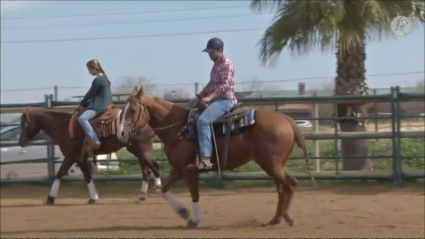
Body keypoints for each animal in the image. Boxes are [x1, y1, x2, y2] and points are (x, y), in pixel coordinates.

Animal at [17, 106, 161, 205]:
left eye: (25, 123)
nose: (21, 141)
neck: (64, 127)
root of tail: (147, 123)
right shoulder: (70, 157)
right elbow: (60, 174)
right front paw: (50, 198)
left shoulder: (78, 158)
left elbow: (86, 175)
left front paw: (93, 197)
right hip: (139, 152)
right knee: (146, 171)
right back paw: (141, 196)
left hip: (141, 151)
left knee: (155, 167)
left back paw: (158, 189)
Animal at [121, 87, 314, 229]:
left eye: (132, 110)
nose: (122, 133)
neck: (180, 127)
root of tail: (287, 119)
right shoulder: (178, 169)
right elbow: (163, 189)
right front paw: (183, 212)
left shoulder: (189, 170)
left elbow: (195, 194)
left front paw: (194, 220)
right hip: (273, 164)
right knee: (282, 187)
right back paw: (275, 219)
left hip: (271, 163)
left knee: (290, 185)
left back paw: (287, 218)